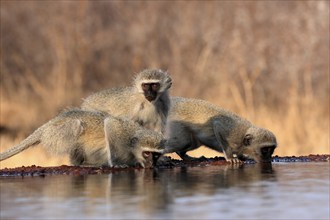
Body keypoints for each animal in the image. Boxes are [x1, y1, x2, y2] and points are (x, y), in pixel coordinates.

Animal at [0, 109, 165, 168]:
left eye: (155, 155)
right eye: (147, 153)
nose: (151, 164)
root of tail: (50, 123)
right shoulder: (121, 132)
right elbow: (110, 124)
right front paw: (117, 164)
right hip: (55, 134)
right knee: (76, 126)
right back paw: (80, 164)